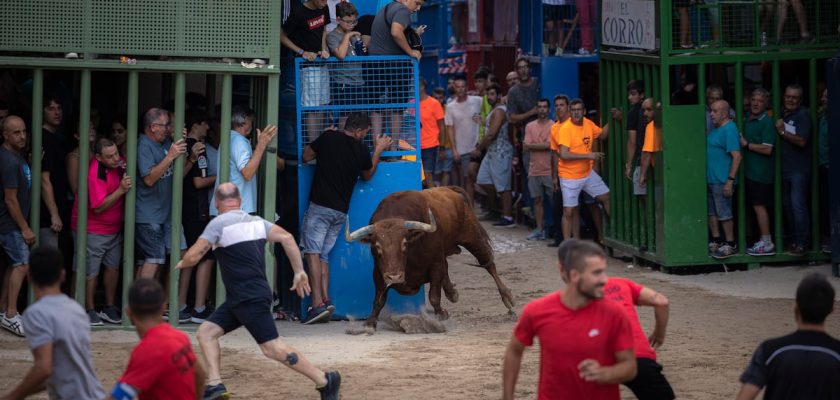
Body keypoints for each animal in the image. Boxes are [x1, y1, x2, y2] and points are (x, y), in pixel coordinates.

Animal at [344, 187, 516, 328]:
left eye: (404, 243)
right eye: (377, 246)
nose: (395, 277)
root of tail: (449, 190)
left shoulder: (435, 263)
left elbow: (433, 294)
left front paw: (440, 313)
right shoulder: (378, 272)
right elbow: (379, 298)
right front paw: (370, 321)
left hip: (472, 237)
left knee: (488, 263)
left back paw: (508, 298)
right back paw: (452, 293)